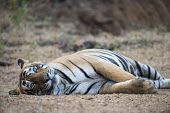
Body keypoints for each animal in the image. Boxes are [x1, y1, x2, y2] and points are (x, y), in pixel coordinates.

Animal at [8, 49, 170, 95]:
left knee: (161, 78)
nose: (46, 78)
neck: (62, 84)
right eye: (33, 86)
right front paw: (145, 86)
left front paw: (146, 85)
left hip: (143, 66)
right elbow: (123, 86)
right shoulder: (101, 86)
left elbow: (123, 76)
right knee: (160, 82)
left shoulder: (99, 64)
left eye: (35, 69)